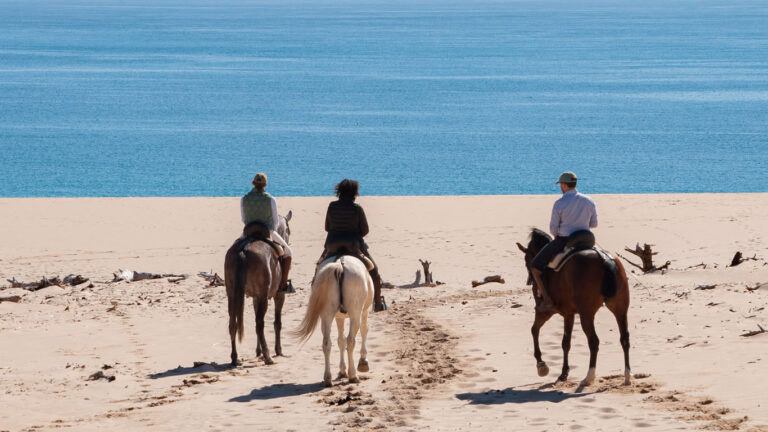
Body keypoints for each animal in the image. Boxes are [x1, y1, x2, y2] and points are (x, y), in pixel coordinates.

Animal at [225, 211, 292, 366]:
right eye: (288, 231)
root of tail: (243, 250)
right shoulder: (278, 296)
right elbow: (277, 323)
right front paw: (278, 350)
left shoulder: (255, 297)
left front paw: (258, 350)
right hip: (263, 297)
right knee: (259, 324)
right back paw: (268, 356)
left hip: (232, 294)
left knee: (233, 322)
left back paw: (235, 358)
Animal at [293, 255, 373, 387]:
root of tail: (339, 265)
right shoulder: (364, 311)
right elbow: (364, 330)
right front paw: (363, 362)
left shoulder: (339, 317)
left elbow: (340, 341)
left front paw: (342, 370)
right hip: (355, 313)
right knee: (351, 340)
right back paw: (353, 375)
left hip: (326, 315)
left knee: (327, 343)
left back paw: (327, 378)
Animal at [516, 228, 631, 386]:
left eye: (526, 260)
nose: (529, 281)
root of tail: (604, 260)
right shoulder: (568, 314)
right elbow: (566, 343)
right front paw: (564, 373)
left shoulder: (546, 311)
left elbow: (534, 330)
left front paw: (541, 364)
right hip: (620, 309)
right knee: (624, 338)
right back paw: (627, 376)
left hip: (586, 314)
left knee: (594, 341)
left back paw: (589, 376)